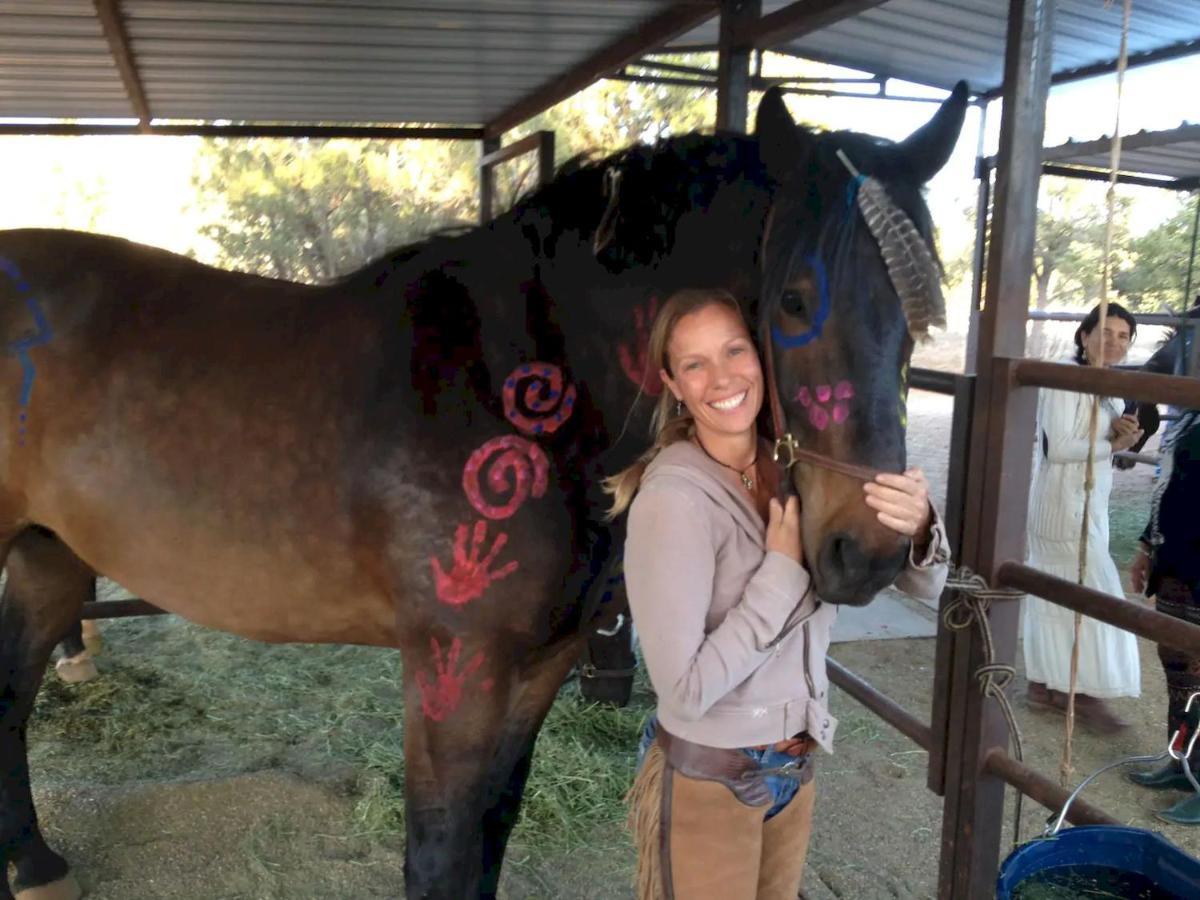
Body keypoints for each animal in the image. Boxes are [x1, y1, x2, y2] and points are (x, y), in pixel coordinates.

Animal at [0, 86, 960, 900]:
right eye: (793, 301)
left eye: (924, 318)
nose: (868, 549)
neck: (524, 378)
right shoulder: (452, 669)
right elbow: (440, 853)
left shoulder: (536, 667)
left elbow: (490, 835)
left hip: (49, 558)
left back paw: (36, 863)